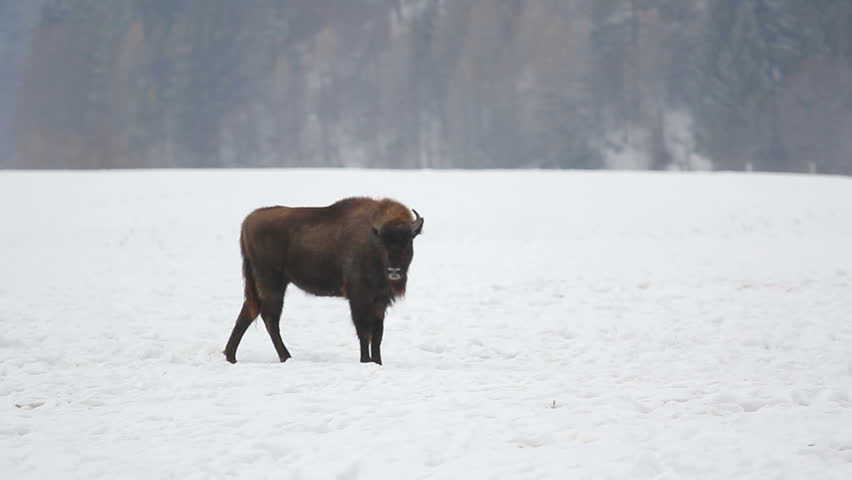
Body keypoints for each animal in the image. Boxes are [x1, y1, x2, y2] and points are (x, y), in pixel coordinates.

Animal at [224, 197, 424, 365]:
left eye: (408, 243)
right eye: (384, 243)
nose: (394, 271)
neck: (372, 239)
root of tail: (248, 221)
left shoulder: (380, 301)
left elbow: (377, 335)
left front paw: (378, 362)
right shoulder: (359, 298)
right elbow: (364, 332)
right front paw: (366, 361)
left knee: (249, 312)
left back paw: (231, 356)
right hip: (272, 284)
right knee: (269, 318)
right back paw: (286, 357)